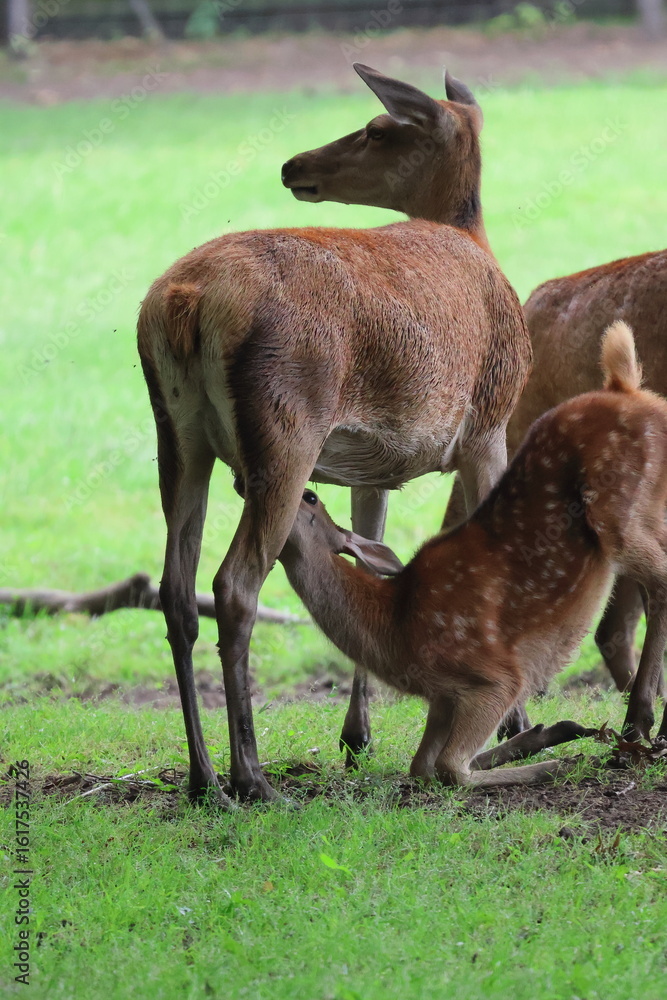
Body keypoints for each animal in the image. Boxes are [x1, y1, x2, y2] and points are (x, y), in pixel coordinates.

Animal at [137, 63, 531, 809]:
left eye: (376, 129)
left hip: (176, 435)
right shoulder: (488, 424)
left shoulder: (376, 464)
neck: (477, 241)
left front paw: (358, 737)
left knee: (176, 590)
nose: (293, 165)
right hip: (285, 429)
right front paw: (515, 724)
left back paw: (204, 778)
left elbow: (369, 550)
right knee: (234, 584)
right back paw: (251, 776)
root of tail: (184, 303)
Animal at [278, 322, 667, 787]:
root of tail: (626, 387)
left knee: (661, 582)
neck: (395, 629)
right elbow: (423, 766)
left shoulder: (495, 677)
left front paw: (558, 760)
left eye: (311, 497)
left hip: (617, 515)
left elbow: (450, 768)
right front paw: (550, 735)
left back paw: (640, 723)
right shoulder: (443, 698)